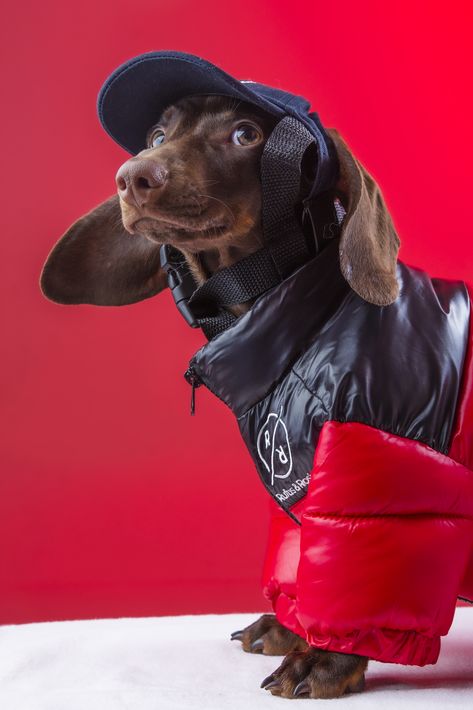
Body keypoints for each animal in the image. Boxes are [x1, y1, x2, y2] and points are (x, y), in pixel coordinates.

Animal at [42, 94, 402, 700]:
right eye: (157, 134)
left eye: (246, 134)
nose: (132, 178)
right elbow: (304, 561)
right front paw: (292, 629)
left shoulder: (368, 483)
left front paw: (327, 661)